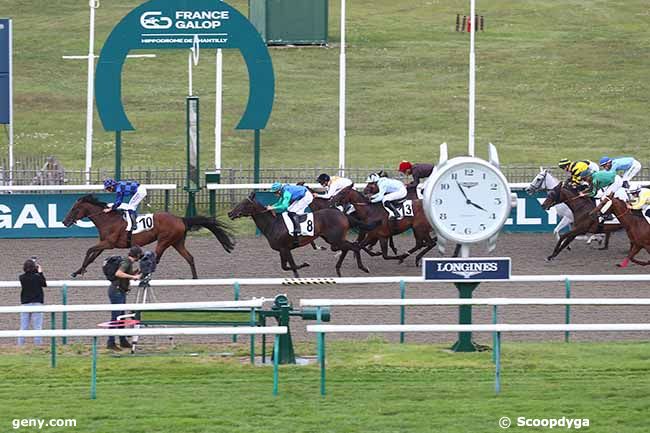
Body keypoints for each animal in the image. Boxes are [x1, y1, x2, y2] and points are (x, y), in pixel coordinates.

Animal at [62, 195, 234, 276]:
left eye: (74, 209)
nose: (64, 221)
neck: (108, 220)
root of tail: (181, 219)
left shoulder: (109, 243)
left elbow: (89, 250)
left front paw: (81, 270)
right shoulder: (104, 244)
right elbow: (92, 256)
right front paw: (77, 271)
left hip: (164, 241)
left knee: (155, 259)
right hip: (177, 242)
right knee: (189, 258)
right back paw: (195, 279)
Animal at [228, 192, 370, 276]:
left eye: (244, 203)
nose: (230, 213)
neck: (273, 223)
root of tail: (342, 214)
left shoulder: (284, 248)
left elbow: (290, 266)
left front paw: (304, 265)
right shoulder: (283, 249)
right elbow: (287, 266)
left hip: (334, 240)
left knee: (354, 246)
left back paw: (363, 267)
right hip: (334, 240)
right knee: (348, 247)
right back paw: (339, 270)